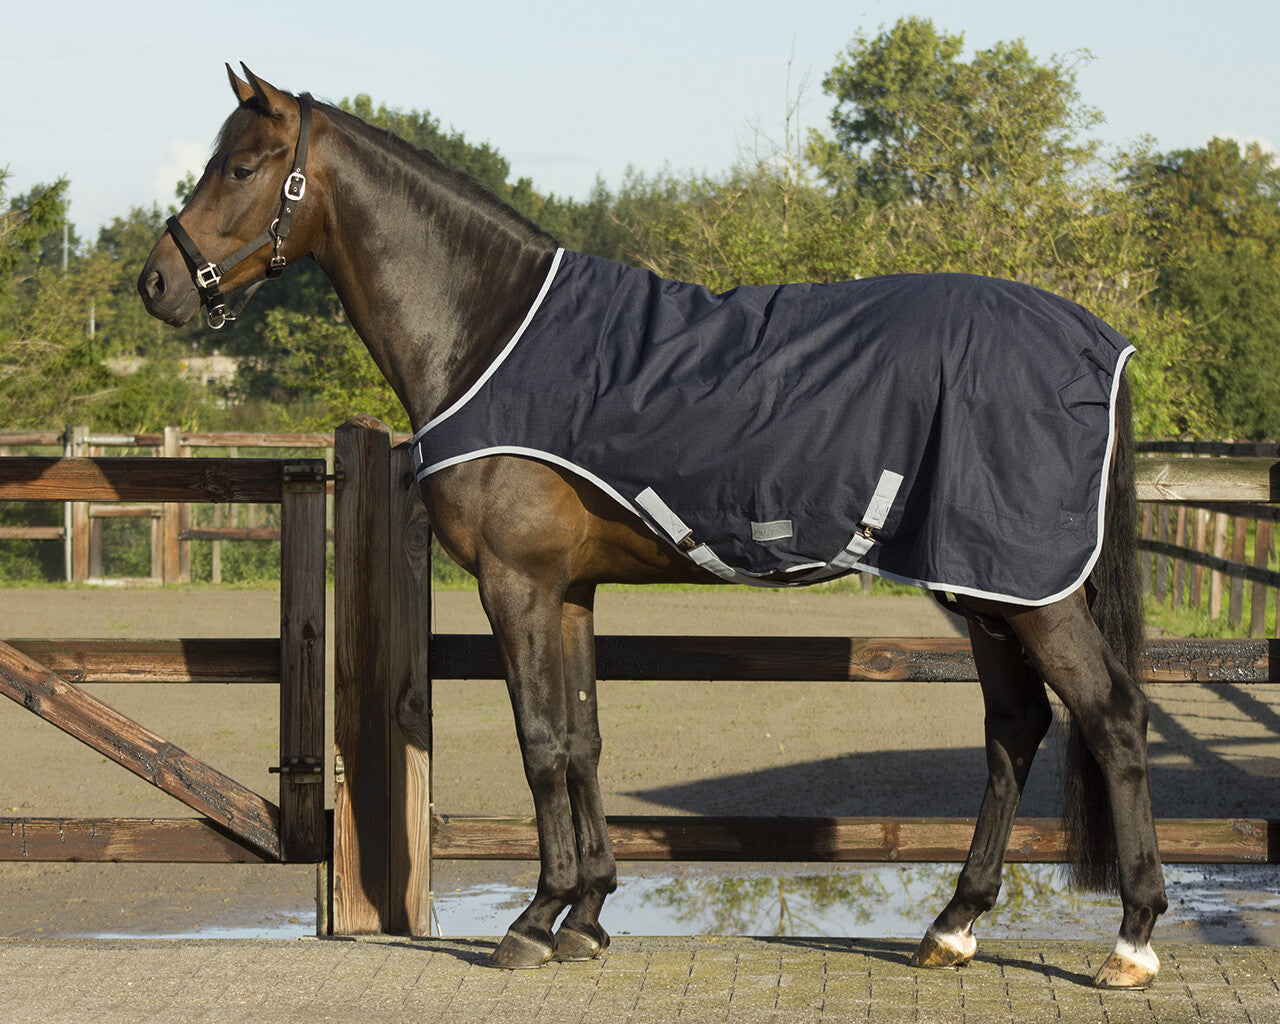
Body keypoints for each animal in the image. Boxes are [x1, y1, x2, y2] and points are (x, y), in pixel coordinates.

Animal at [138, 66, 1166, 988]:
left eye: (240, 166)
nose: (156, 283)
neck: (487, 333)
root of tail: (1097, 341)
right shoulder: (569, 590)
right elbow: (582, 739)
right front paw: (588, 915)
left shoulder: (516, 583)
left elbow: (540, 742)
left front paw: (534, 919)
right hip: (984, 584)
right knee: (1016, 727)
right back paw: (953, 926)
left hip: (1028, 591)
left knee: (1111, 716)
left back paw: (1131, 942)